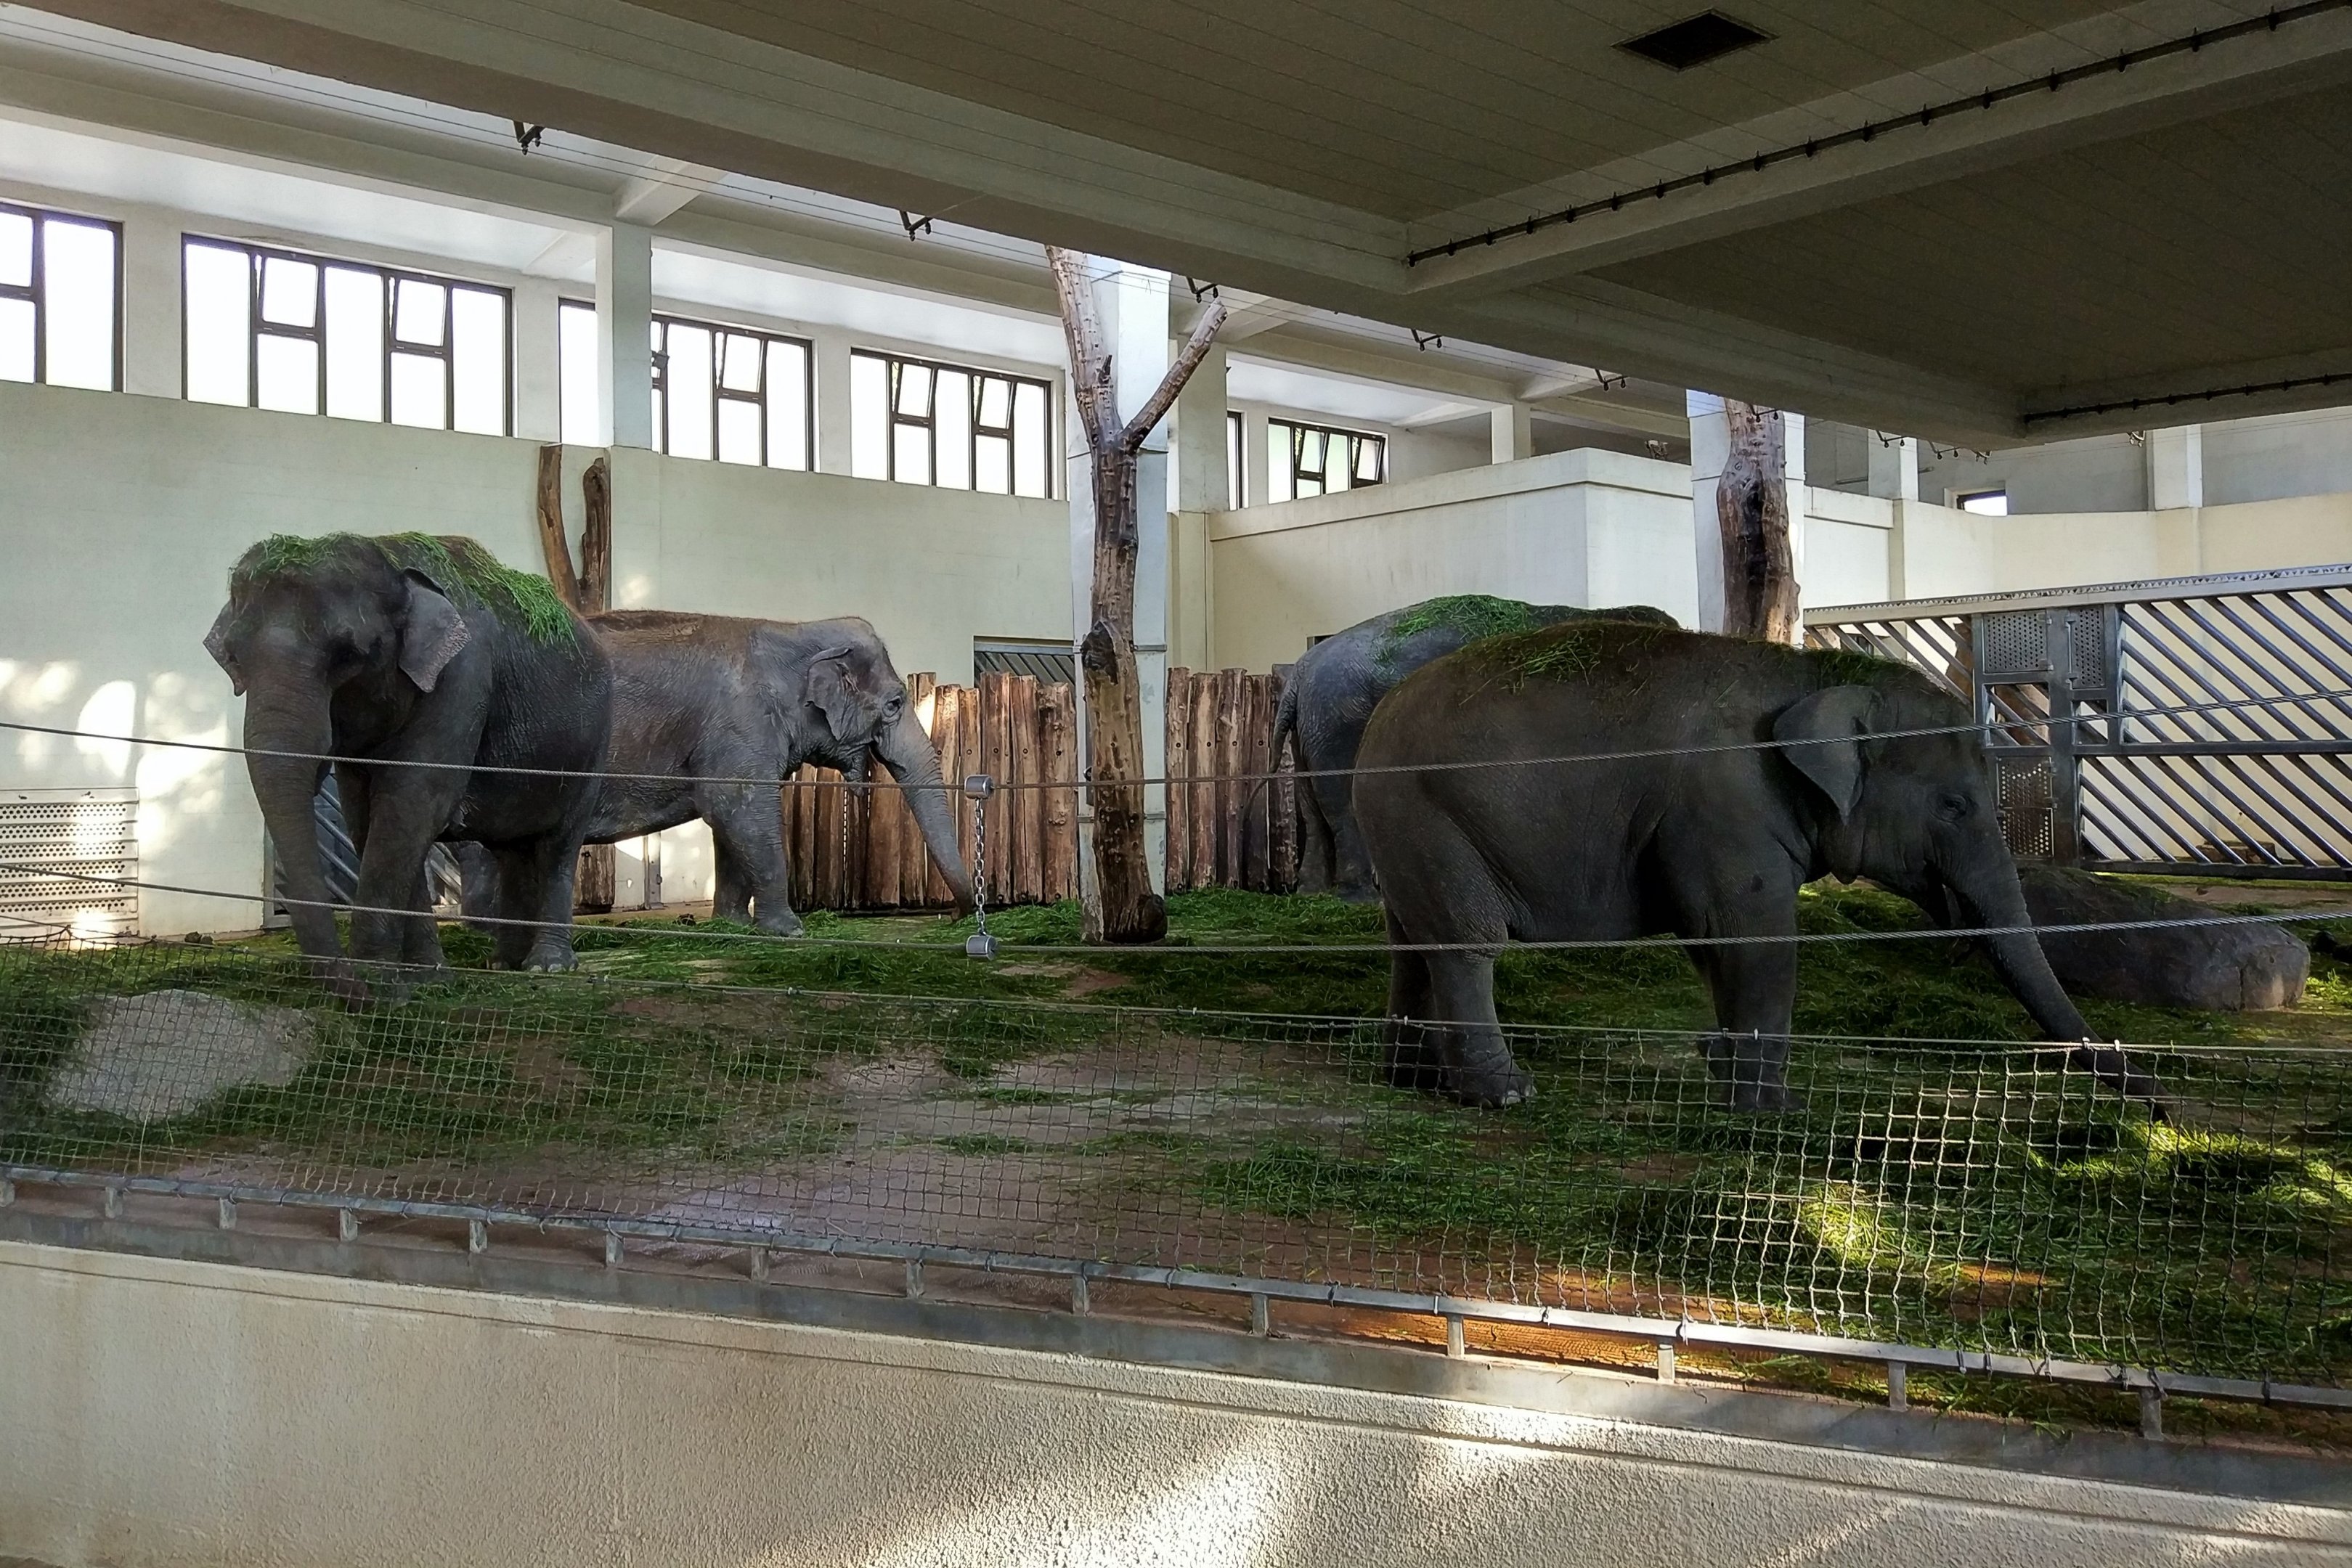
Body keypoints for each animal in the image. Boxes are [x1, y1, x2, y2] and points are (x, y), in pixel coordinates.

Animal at [205, 533, 611, 978]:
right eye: (232, 657)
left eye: (348, 655)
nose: (341, 977)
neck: (391, 557)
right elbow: (369, 817)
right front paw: (424, 975)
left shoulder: (463, 675)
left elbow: (411, 803)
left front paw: (378, 980)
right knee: (510, 850)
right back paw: (505, 964)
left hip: (593, 746)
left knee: (560, 844)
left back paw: (547, 967)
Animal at [464, 611, 975, 934]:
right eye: (895, 704)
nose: (956, 917)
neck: (793, 630)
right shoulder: (740, 728)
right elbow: (741, 810)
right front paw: (789, 932)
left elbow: (731, 824)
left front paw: (735, 926)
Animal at [1272, 596, 1676, 901]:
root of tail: (1297, 678)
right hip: (1337, 720)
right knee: (1342, 804)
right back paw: (1362, 899)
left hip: (1312, 728)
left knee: (1312, 806)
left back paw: (1312, 892)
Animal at [1354, 620, 2160, 1112]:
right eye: (1955, 806)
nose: (2156, 1104)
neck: (1814, 673)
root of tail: (1371, 730)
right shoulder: (1726, 802)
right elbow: (1754, 934)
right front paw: (1772, 1109)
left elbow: (1713, 943)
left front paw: (1723, 1065)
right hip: (1427, 814)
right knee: (1465, 942)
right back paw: (1505, 1095)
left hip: (1405, 830)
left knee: (1412, 941)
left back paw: (1412, 1080)